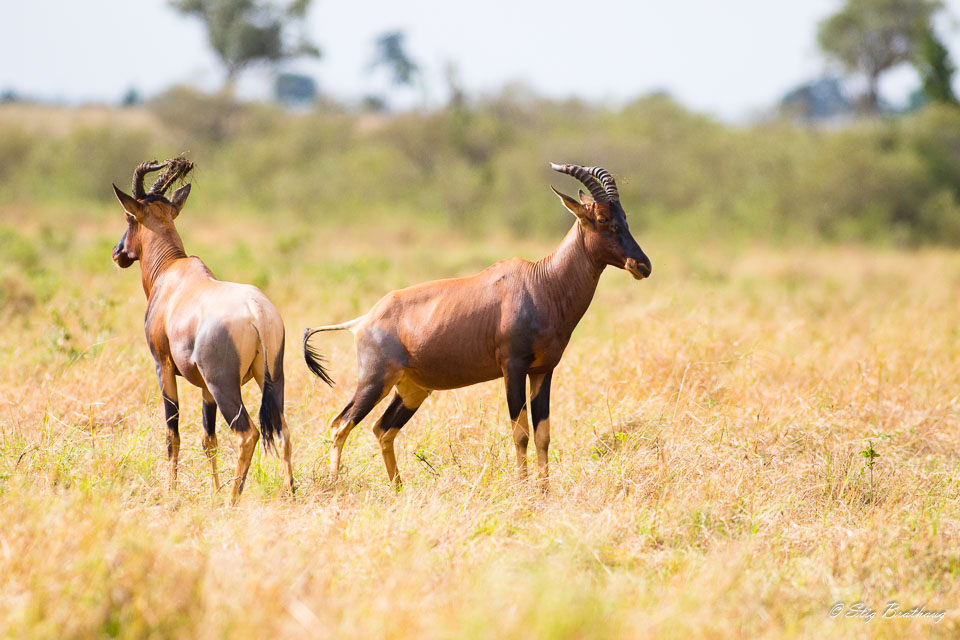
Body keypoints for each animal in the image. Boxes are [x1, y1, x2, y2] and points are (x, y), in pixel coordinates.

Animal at [110, 159, 330, 500]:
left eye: (129, 216)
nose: (118, 253)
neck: (173, 273)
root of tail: (256, 311)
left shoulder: (164, 367)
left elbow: (172, 434)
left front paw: (172, 493)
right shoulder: (203, 386)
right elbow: (208, 440)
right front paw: (212, 492)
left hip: (224, 384)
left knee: (247, 433)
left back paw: (233, 498)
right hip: (271, 377)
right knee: (282, 430)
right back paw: (290, 490)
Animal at [306, 164, 652, 484]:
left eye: (625, 216)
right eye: (603, 219)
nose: (643, 265)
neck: (541, 282)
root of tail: (363, 320)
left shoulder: (544, 371)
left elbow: (543, 434)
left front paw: (544, 492)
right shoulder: (512, 368)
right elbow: (520, 433)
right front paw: (524, 490)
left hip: (412, 390)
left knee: (382, 429)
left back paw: (397, 489)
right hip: (375, 381)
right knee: (341, 424)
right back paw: (335, 486)